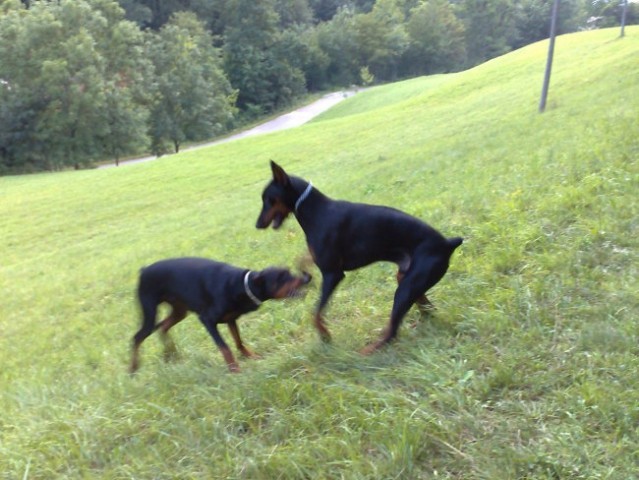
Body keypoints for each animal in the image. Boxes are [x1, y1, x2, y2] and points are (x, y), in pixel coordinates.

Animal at [130, 256, 310, 374]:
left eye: (289, 272)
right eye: (281, 277)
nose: (307, 277)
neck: (240, 285)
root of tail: (143, 271)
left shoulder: (231, 319)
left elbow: (238, 341)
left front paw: (250, 356)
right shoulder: (207, 320)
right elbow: (225, 347)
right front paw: (234, 369)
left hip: (180, 310)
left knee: (163, 326)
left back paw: (171, 353)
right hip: (149, 311)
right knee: (138, 336)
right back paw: (133, 368)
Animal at [258, 161, 462, 352]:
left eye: (269, 199)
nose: (257, 224)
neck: (316, 211)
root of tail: (448, 243)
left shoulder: (333, 274)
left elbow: (315, 314)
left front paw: (325, 336)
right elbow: (301, 260)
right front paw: (303, 273)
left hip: (405, 289)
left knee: (393, 332)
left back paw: (365, 352)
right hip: (406, 278)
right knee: (427, 309)